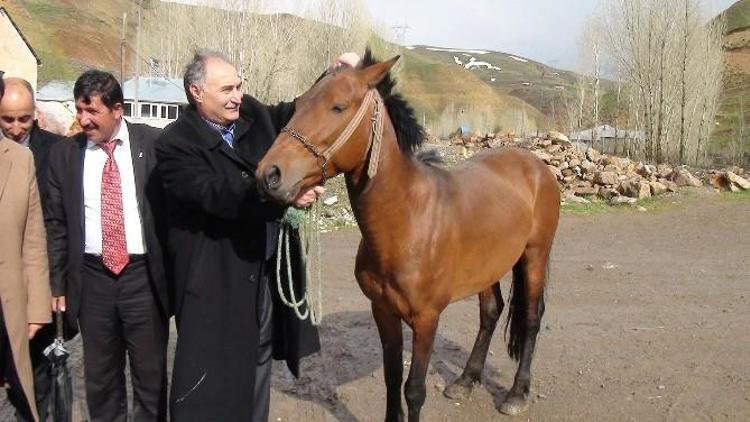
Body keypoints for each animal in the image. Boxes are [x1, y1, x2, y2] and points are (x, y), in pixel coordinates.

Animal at [256, 51, 560, 420]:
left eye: (338, 107)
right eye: (298, 104)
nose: (269, 174)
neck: (408, 221)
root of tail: (534, 163)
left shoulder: (427, 319)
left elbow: (413, 389)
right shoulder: (383, 311)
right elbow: (391, 378)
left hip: (535, 254)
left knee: (531, 318)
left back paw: (517, 393)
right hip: (488, 267)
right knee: (491, 312)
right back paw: (466, 379)